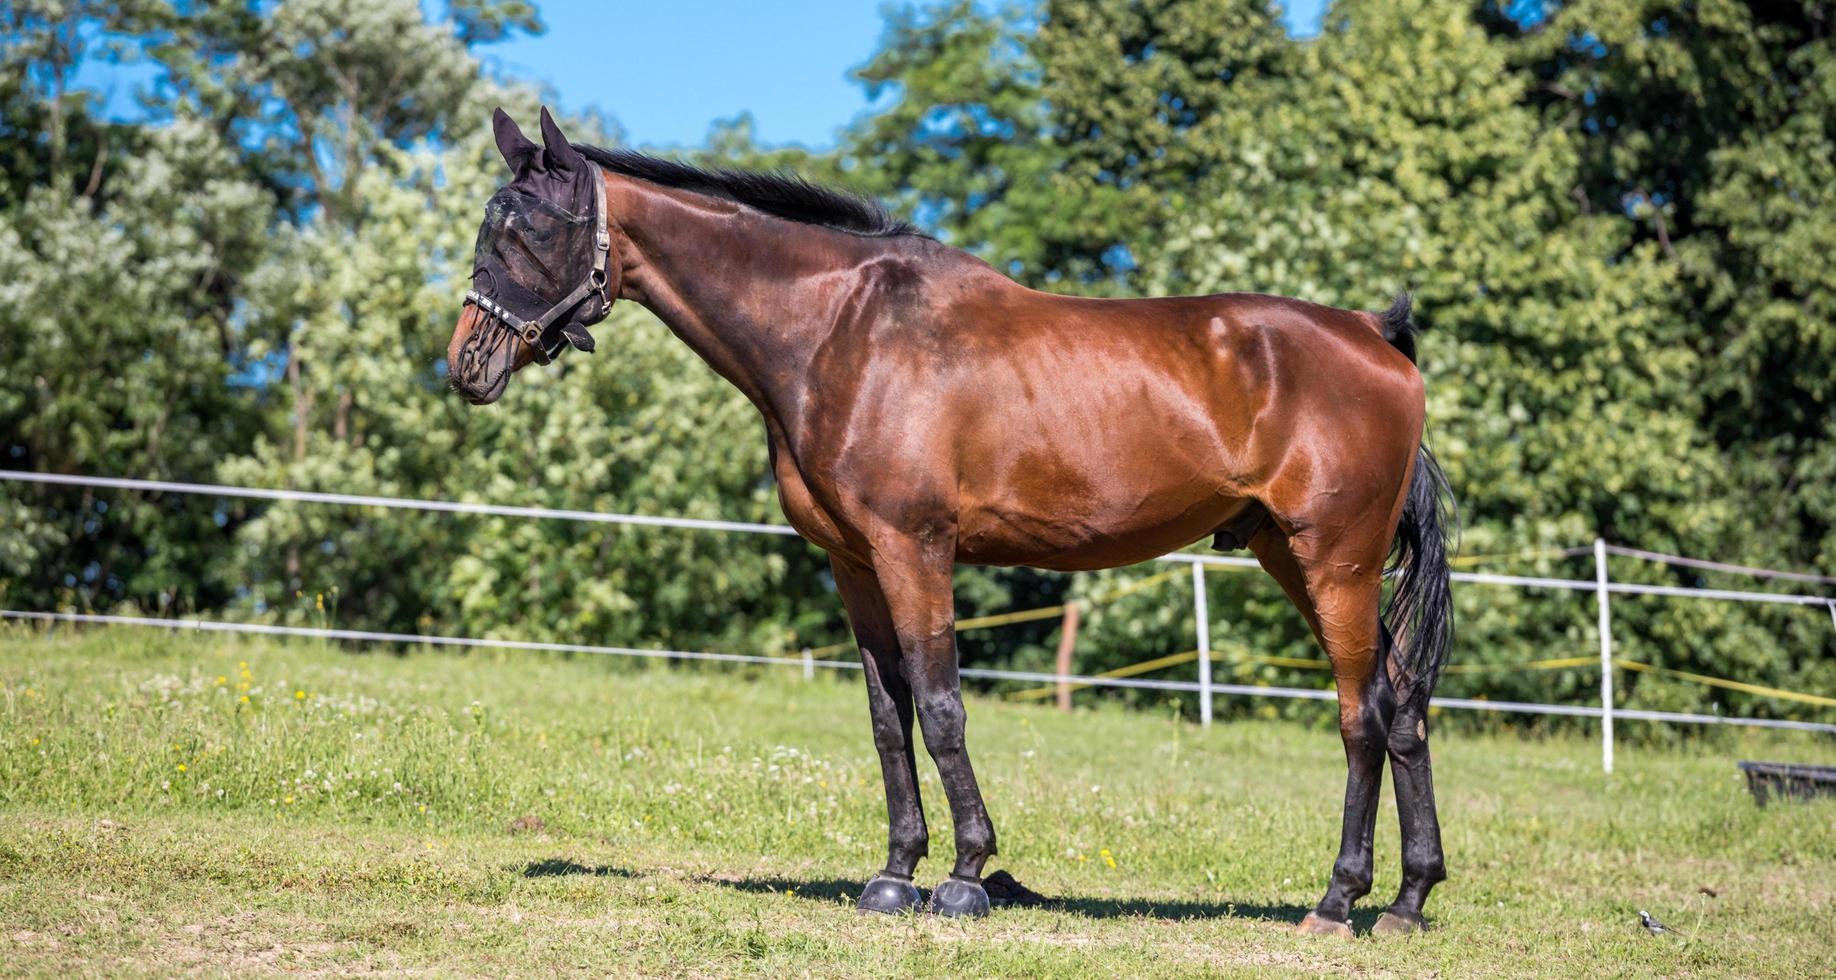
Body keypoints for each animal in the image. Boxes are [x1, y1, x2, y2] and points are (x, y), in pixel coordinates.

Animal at [451, 109, 1454, 935]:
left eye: (528, 227)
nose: (467, 365)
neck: (841, 331)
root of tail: (1374, 334)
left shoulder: (915, 549)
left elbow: (939, 707)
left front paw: (967, 875)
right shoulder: (854, 562)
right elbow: (887, 717)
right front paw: (895, 872)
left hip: (1335, 562)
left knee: (1363, 714)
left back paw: (1337, 901)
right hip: (1293, 557)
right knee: (1403, 699)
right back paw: (1407, 900)